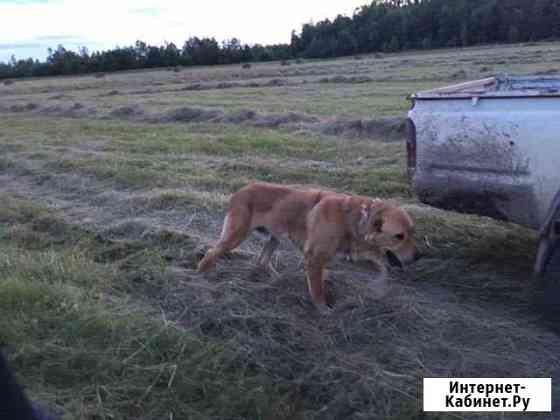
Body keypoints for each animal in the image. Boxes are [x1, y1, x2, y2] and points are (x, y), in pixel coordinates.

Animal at [198, 182, 420, 314]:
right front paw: (324, 309)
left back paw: (278, 279)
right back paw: (202, 277)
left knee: (262, 261)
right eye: (399, 236)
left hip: (275, 238)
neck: (355, 219)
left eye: (413, 232)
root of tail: (242, 190)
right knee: (211, 253)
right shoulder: (315, 258)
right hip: (236, 236)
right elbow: (317, 289)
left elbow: (379, 266)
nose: (419, 257)